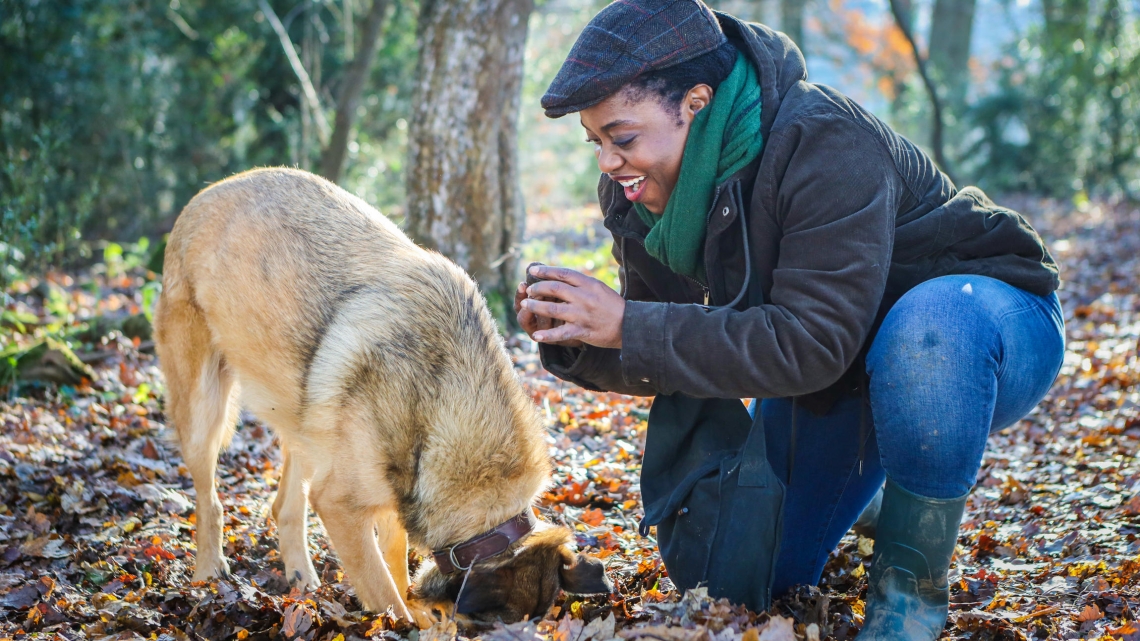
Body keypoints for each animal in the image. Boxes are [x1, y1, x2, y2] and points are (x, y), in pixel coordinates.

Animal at [158, 167, 615, 620]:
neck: (442, 398)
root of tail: (211, 190)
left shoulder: (390, 498)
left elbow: (394, 558)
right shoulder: (339, 504)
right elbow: (385, 594)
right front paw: (402, 622)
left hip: (305, 426)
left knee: (283, 506)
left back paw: (302, 579)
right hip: (204, 415)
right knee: (210, 502)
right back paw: (209, 571)